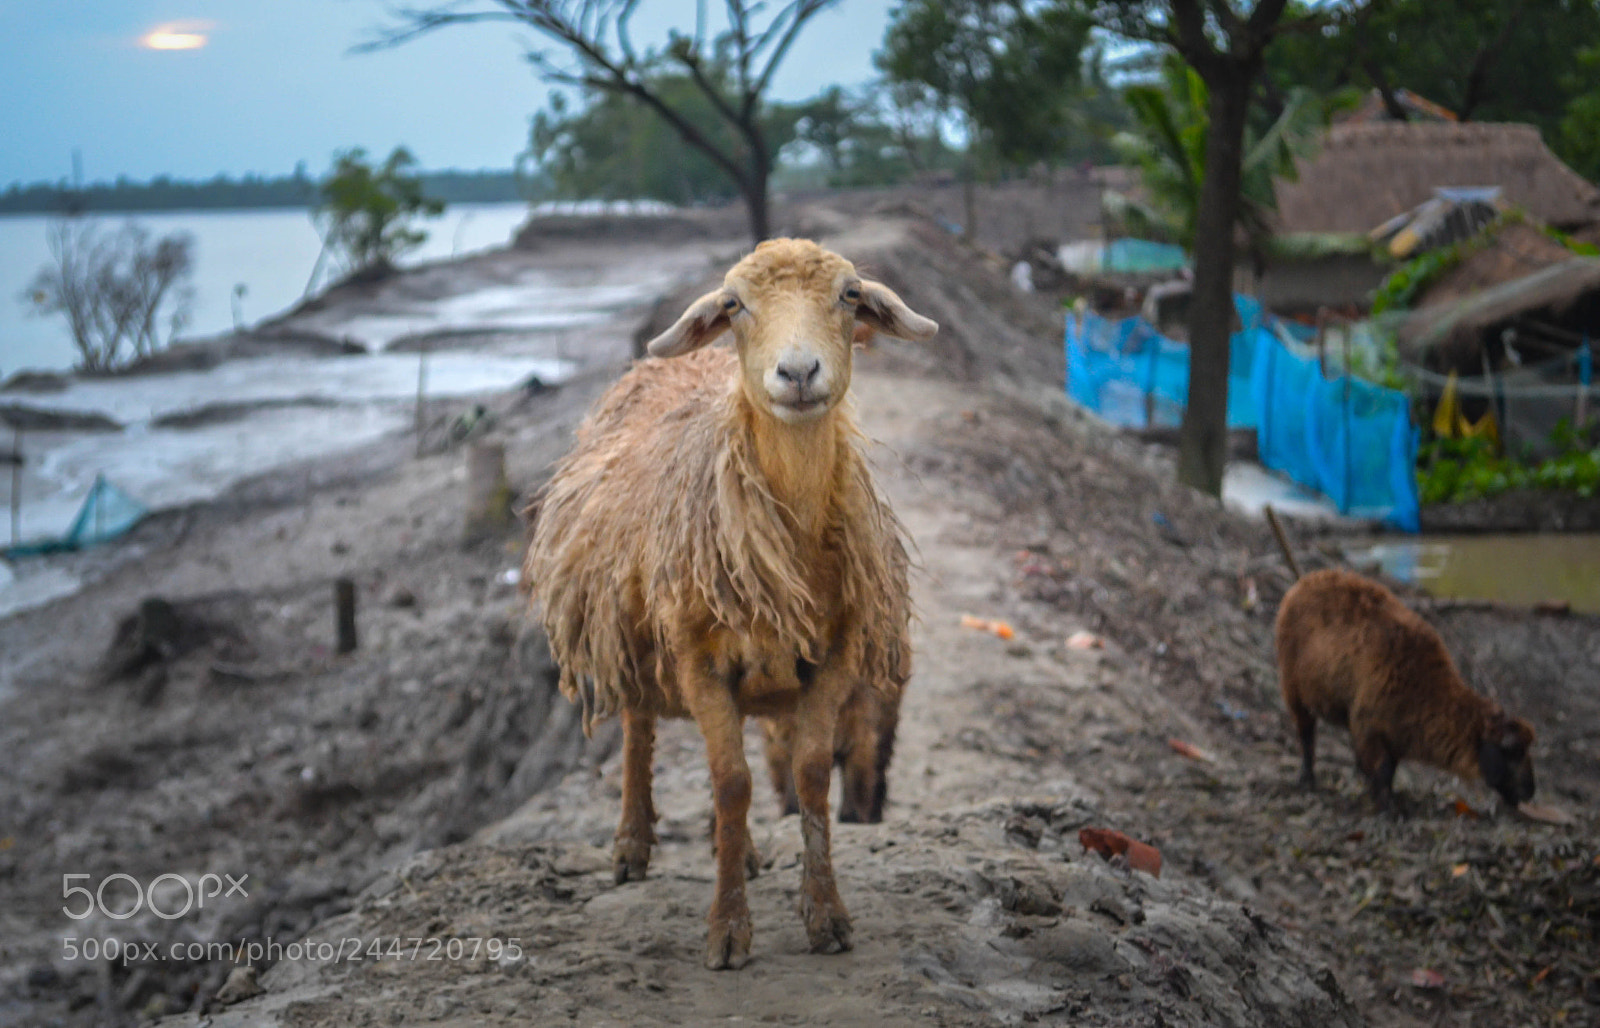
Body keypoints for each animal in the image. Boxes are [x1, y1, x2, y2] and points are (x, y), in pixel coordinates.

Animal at [523, 238, 936, 969]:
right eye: (734, 304)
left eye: (851, 295)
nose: (797, 372)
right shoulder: (697, 658)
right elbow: (731, 782)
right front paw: (727, 932)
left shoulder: (832, 658)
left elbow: (807, 775)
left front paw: (825, 917)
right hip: (631, 633)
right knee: (639, 729)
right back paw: (632, 848)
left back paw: (736, 853)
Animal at [1274, 568, 1537, 813]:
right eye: (1514, 751)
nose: (1530, 791)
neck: (1424, 684)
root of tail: (1304, 584)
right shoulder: (1370, 729)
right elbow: (1380, 768)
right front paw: (1387, 807)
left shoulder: (1394, 735)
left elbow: (1389, 770)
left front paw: (1388, 797)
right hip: (1295, 693)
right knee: (1306, 736)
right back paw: (1307, 779)